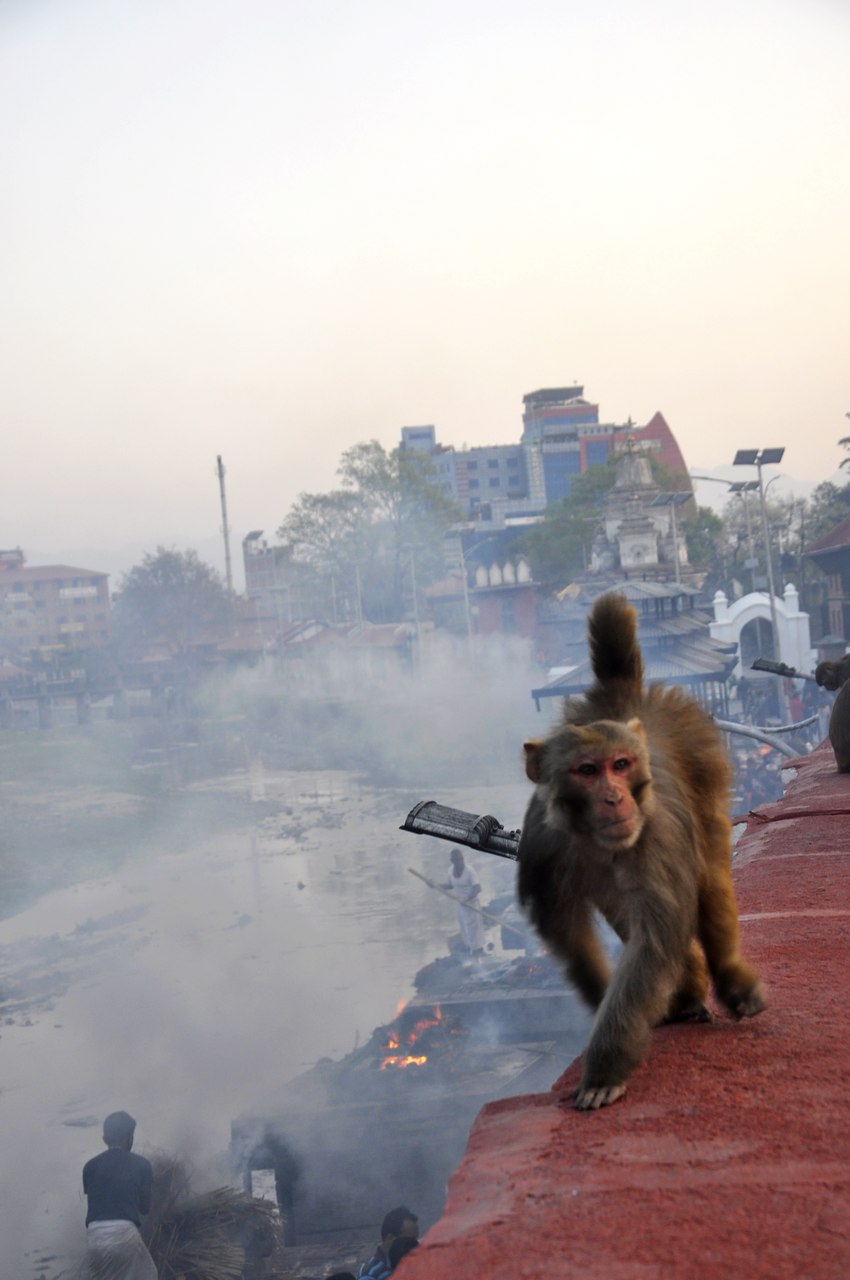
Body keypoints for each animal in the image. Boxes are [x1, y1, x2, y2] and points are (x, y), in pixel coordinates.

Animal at [517, 593, 762, 1105]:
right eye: (587, 771)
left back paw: (729, 980)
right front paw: (602, 999)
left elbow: (653, 941)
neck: (590, 838)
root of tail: (624, 699)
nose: (615, 798)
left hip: (705, 764)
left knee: (708, 878)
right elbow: (566, 930)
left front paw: (604, 1067)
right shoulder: (542, 843)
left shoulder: (657, 837)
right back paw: (686, 991)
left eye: (621, 765)